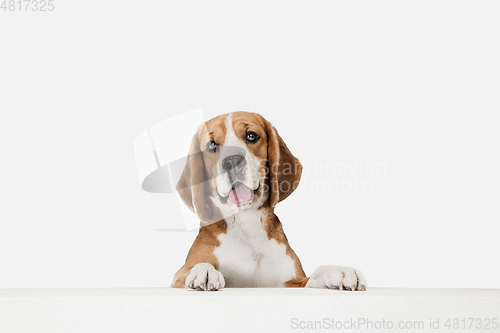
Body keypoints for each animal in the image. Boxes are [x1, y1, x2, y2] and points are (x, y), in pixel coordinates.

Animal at [170, 111, 366, 290]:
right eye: (211, 145)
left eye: (251, 136)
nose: (232, 161)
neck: (246, 221)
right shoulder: (178, 277)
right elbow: (197, 266)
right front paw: (205, 271)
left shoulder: (292, 282)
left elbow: (315, 275)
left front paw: (339, 271)